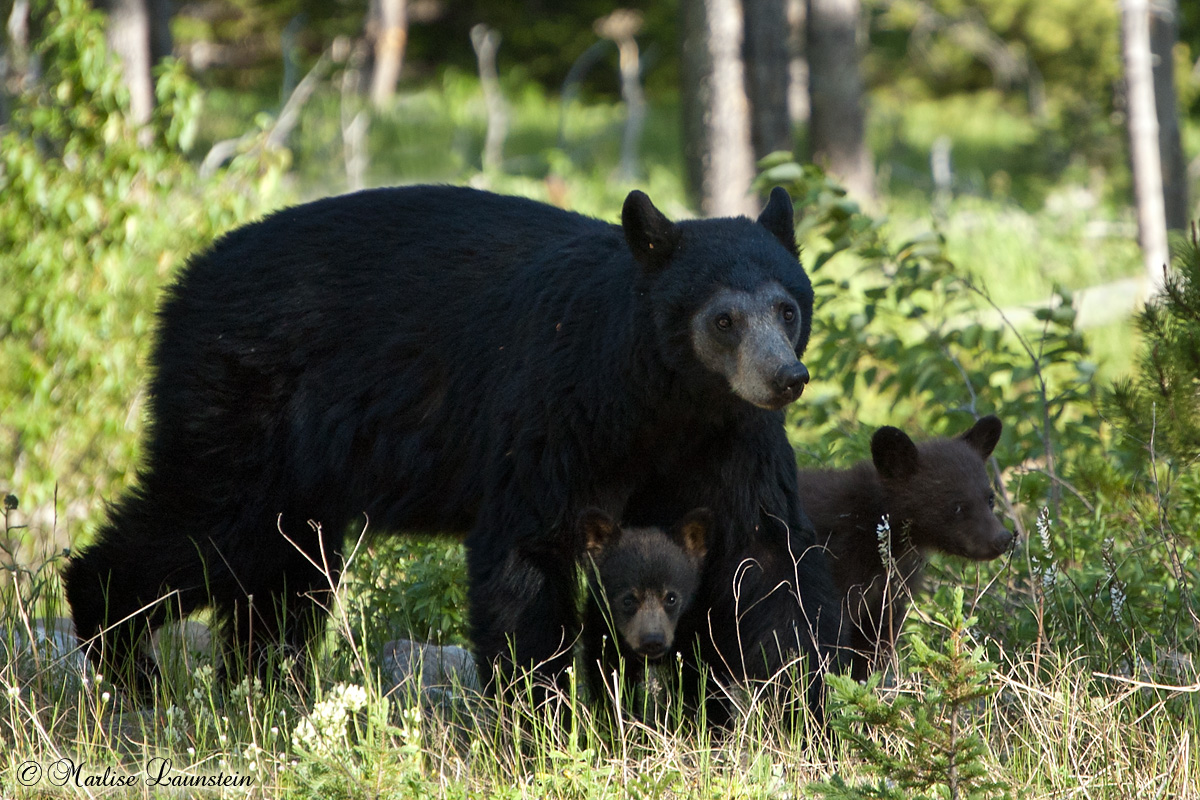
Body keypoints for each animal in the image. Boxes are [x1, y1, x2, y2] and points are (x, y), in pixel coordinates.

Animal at [578, 507, 708, 716]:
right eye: (628, 600)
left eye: (671, 598)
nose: (653, 640)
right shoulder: (601, 626)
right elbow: (608, 674)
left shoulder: (690, 628)